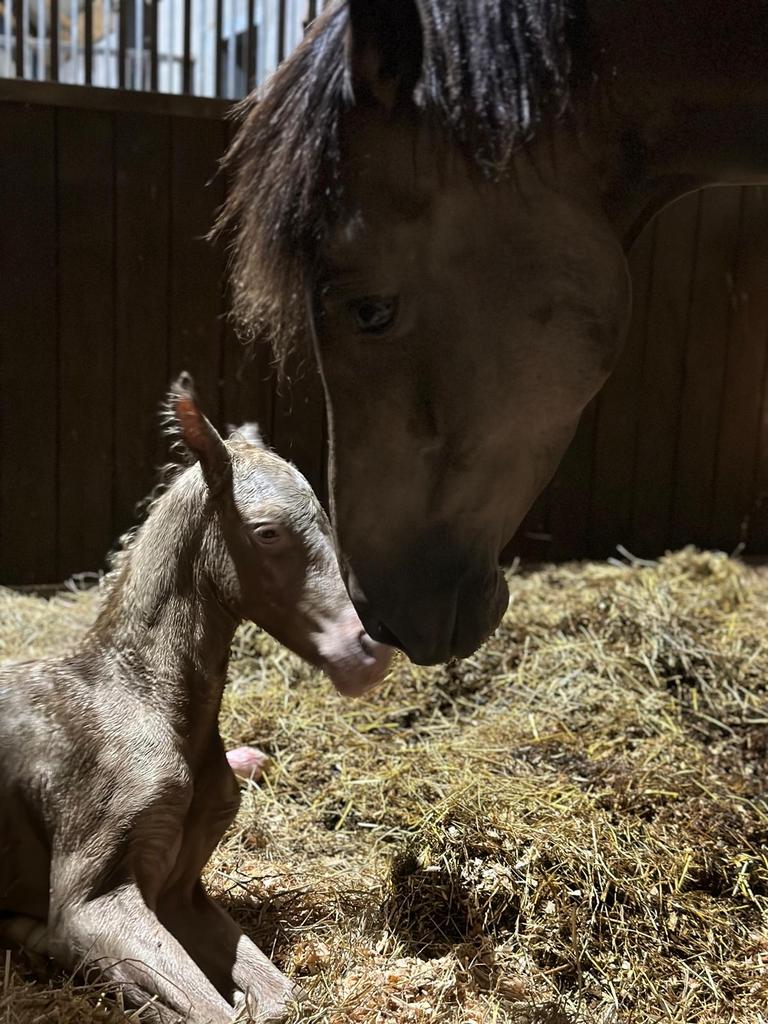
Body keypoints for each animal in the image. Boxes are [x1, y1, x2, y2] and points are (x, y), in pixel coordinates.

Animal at [0, 373, 391, 1023]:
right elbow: (210, 1010)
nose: (368, 650)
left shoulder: (181, 893)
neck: (148, 700)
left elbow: (277, 997)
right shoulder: (90, 902)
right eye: (267, 531)